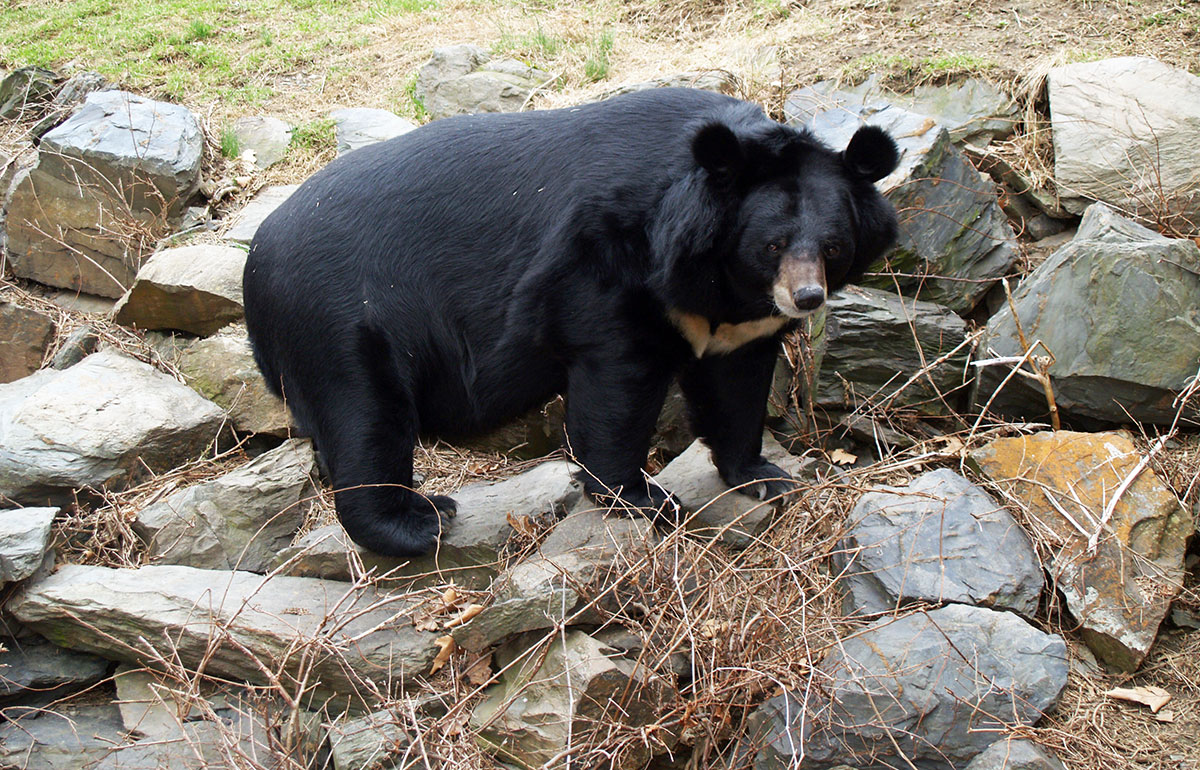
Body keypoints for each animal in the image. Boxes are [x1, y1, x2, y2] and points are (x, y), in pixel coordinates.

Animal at [246, 88, 902, 551]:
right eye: (772, 245)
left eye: (834, 245)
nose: (806, 298)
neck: (716, 278)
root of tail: (257, 257)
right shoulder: (603, 267)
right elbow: (617, 387)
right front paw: (646, 498)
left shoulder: (737, 325)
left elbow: (735, 388)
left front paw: (765, 475)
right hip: (342, 322)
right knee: (365, 418)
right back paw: (419, 521)